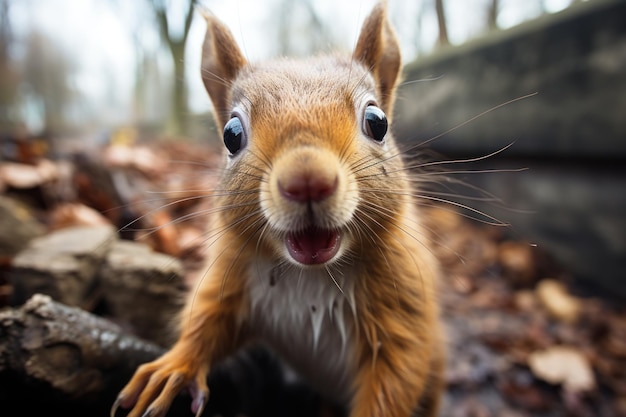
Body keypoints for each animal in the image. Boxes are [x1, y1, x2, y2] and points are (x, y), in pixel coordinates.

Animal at [112, 3, 444, 416]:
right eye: (231, 135)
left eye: (377, 122)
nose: (307, 180)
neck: (312, 277)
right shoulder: (230, 275)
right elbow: (207, 321)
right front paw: (174, 367)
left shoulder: (402, 303)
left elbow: (397, 375)